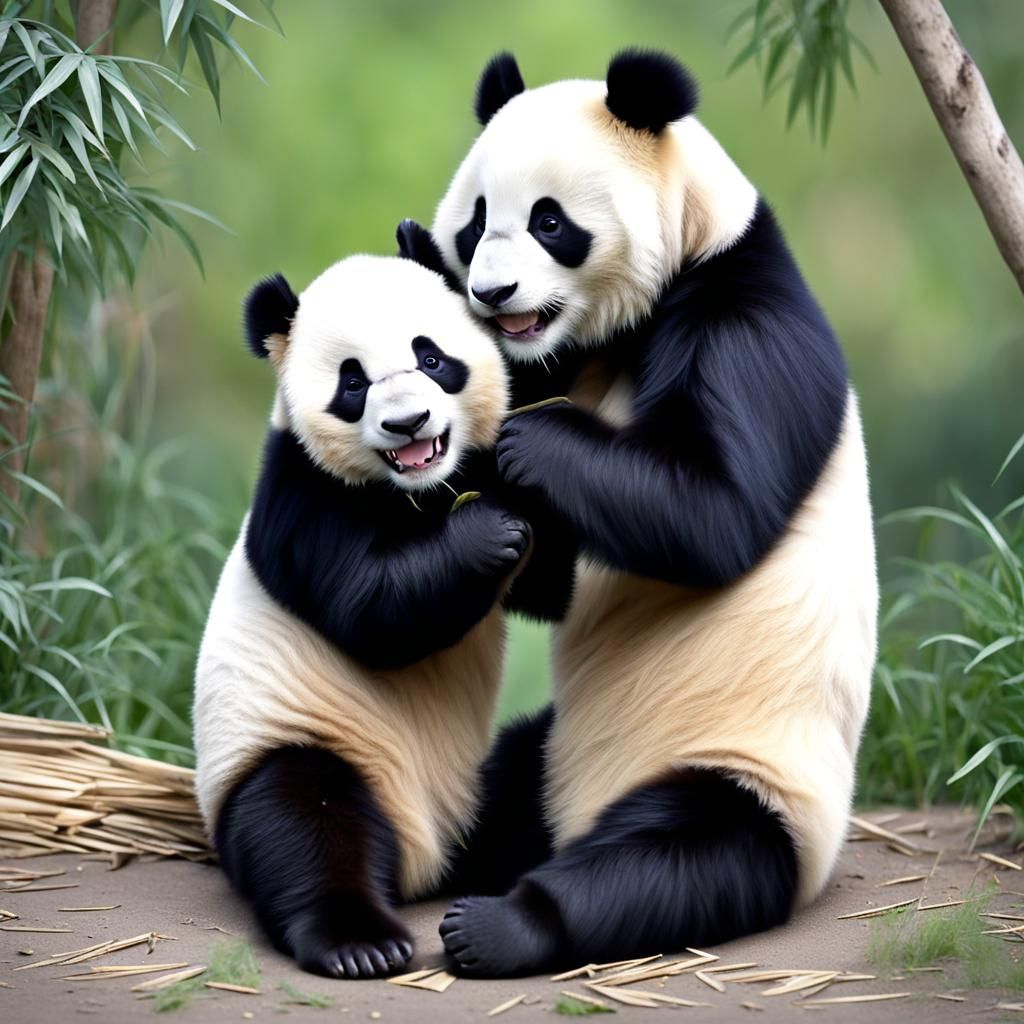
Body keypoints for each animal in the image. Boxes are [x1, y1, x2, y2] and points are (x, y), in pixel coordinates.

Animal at [193, 248, 533, 979]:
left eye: (430, 356)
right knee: (305, 823)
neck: (416, 490)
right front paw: (487, 531)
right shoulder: (300, 497)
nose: (409, 424)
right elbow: (371, 613)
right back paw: (359, 942)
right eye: (353, 384)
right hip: (297, 746)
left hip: (484, 783)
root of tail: (430, 864)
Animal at [424, 50, 879, 976]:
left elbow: (712, 512)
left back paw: (502, 924)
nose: (491, 294)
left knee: (674, 855)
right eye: (476, 220)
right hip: (550, 750)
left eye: (550, 221)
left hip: (754, 775)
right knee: (493, 782)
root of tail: (574, 818)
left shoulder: (745, 320)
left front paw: (527, 437)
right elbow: (553, 582)